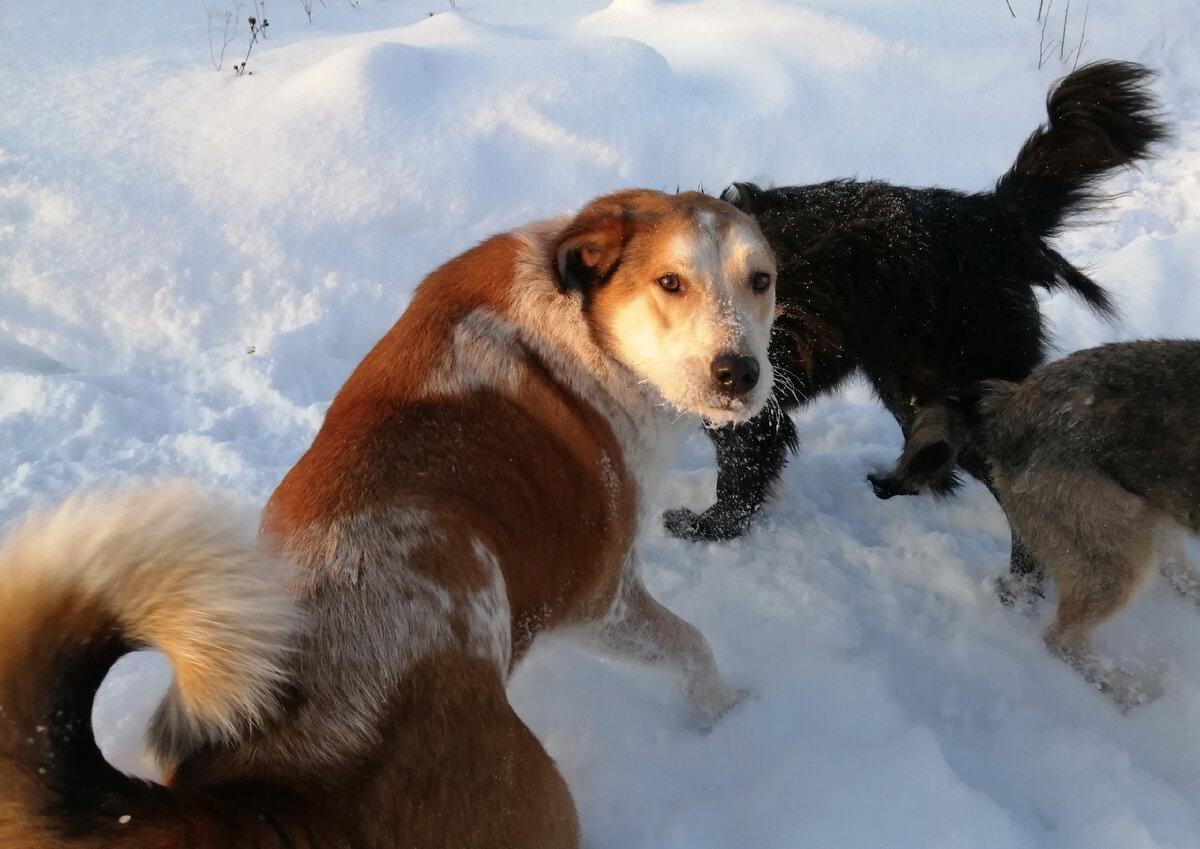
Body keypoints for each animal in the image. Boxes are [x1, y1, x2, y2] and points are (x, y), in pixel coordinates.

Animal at [0, 190, 777, 849]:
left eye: (762, 280)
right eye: (670, 282)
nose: (739, 372)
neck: (583, 323)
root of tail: (273, 797)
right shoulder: (596, 598)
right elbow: (693, 646)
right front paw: (726, 711)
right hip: (538, 805)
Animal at [667, 59, 1161, 594]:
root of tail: (993, 220)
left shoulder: (748, 402)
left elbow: (738, 479)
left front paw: (707, 529)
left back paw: (1019, 591)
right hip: (909, 382)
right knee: (935, 455)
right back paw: (893, 487)